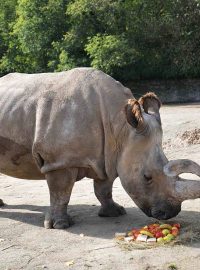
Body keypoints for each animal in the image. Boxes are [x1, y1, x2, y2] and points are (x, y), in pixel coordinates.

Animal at [0, 67, 200, 228]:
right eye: (147, 177)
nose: (171, 213)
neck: (121, 128)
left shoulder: (110, 154)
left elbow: (104, 187)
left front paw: (114, 213)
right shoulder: (59, 160)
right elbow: (61, 192)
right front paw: (61, 225)